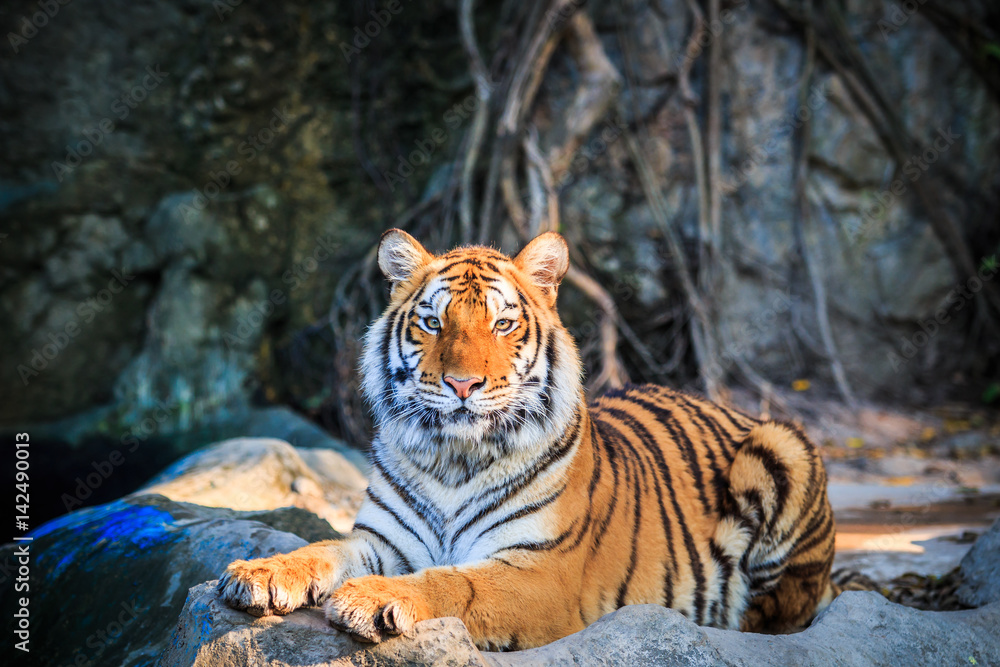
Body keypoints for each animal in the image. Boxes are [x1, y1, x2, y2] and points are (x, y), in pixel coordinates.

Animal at [218, 229, 839, 650]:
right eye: (433, 322)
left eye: (502, 324)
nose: (462, 384)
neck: (454, 459)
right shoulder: (384, 539)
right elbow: (321, 548)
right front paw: (259, 573)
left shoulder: (540, 573)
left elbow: (455, 583)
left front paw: (373, 598)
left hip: (781, 447)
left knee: (787, 608)